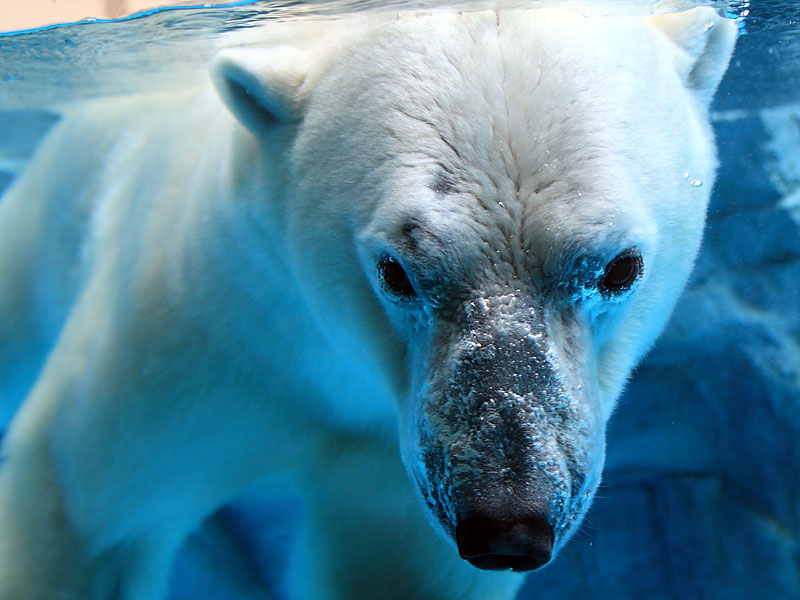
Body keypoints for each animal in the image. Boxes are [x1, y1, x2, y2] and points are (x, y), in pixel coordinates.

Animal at [0, 5, 736, 600]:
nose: (507, 523)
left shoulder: (389, 471)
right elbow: (89, 509)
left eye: (620, 268)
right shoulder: (203, 327)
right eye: (396, 271)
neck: (337, 373)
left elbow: (395, 570)